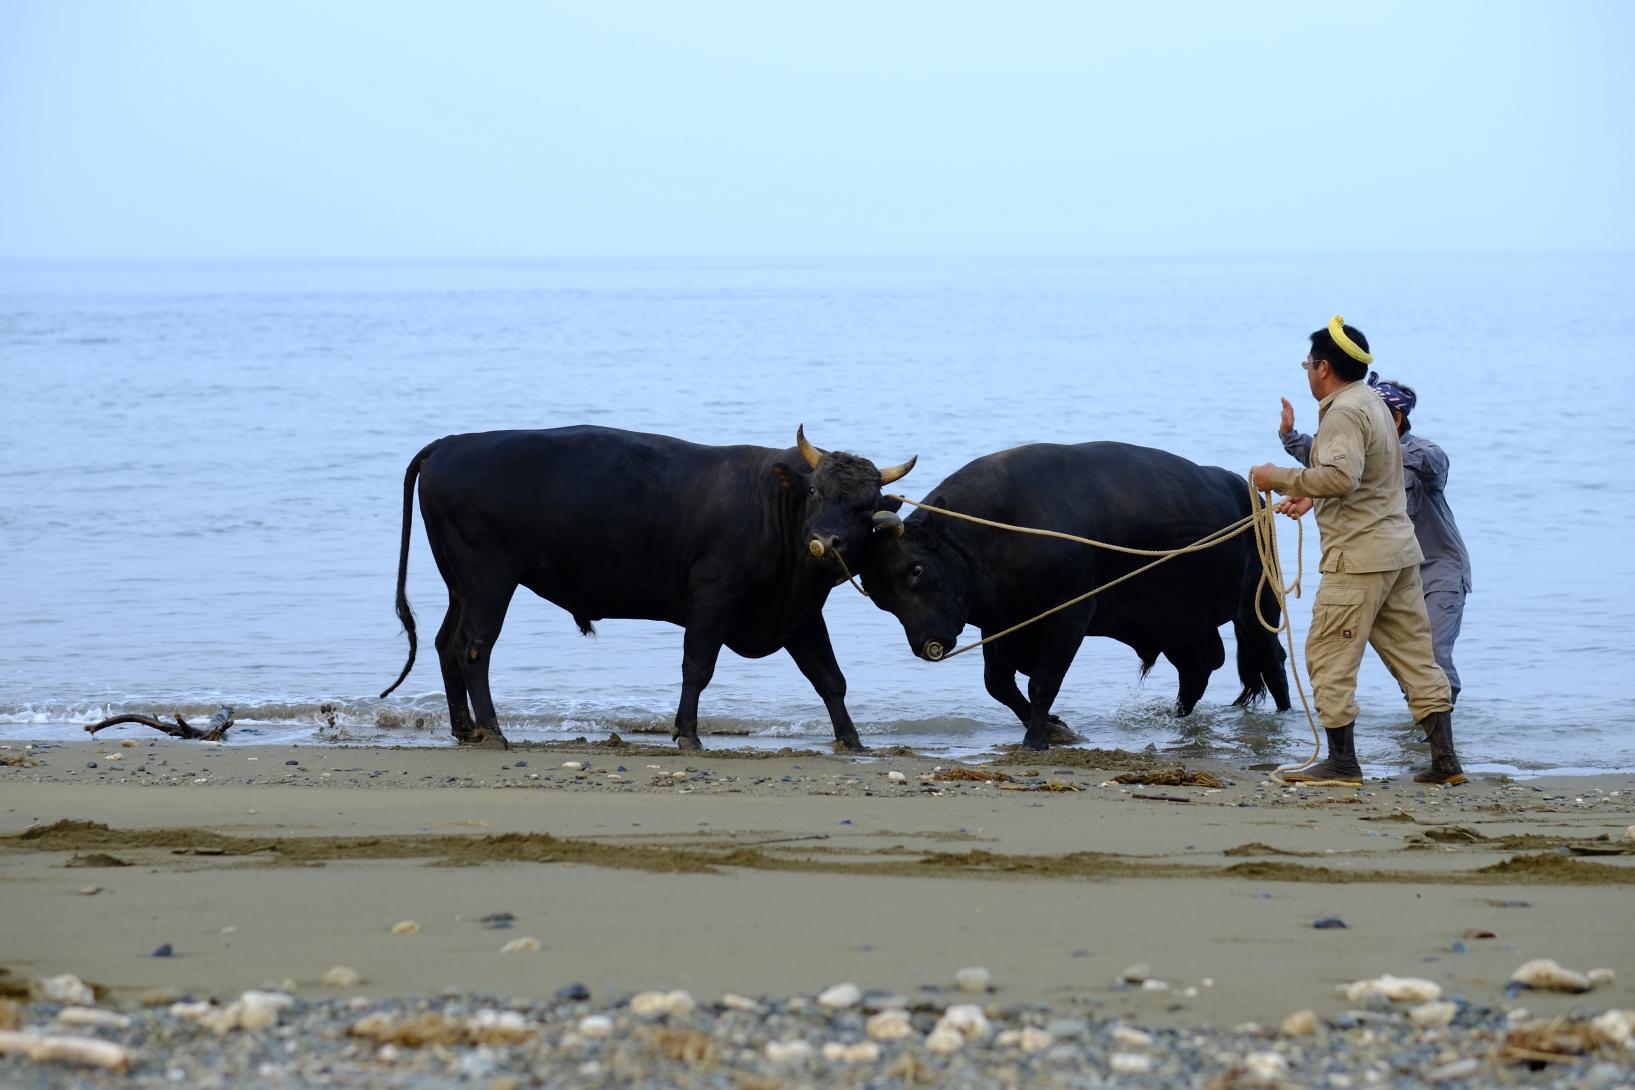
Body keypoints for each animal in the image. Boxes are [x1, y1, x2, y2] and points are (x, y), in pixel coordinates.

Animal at [384, 424, 922, 751]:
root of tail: (450, 444)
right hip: (489, 579)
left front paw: (852, 740)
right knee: (473, 648)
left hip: (461, 584)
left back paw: (464, 729)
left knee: (446, 645)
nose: (824, 542)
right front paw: (687, 734)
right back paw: (493, 731)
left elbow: (830, 678)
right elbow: (697, 668)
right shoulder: (712, 597)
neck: (771, 504)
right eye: (814, 490)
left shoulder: (800, 614)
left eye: (865, 506)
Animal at [863, 441, 1294, 751]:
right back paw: (1177, 721)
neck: (998, 529)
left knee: (1271, 661)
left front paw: (1036, 739)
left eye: (916, 569)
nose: (927, 644)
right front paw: (1054, 728)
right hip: (1180, 626)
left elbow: (1042, 683)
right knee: (1196, 671)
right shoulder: (1001, 623)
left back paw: (1286, 718)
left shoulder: (1069, 615)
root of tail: (1244, 490)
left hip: (1258, 606)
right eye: (880, 598)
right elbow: (997, 684)